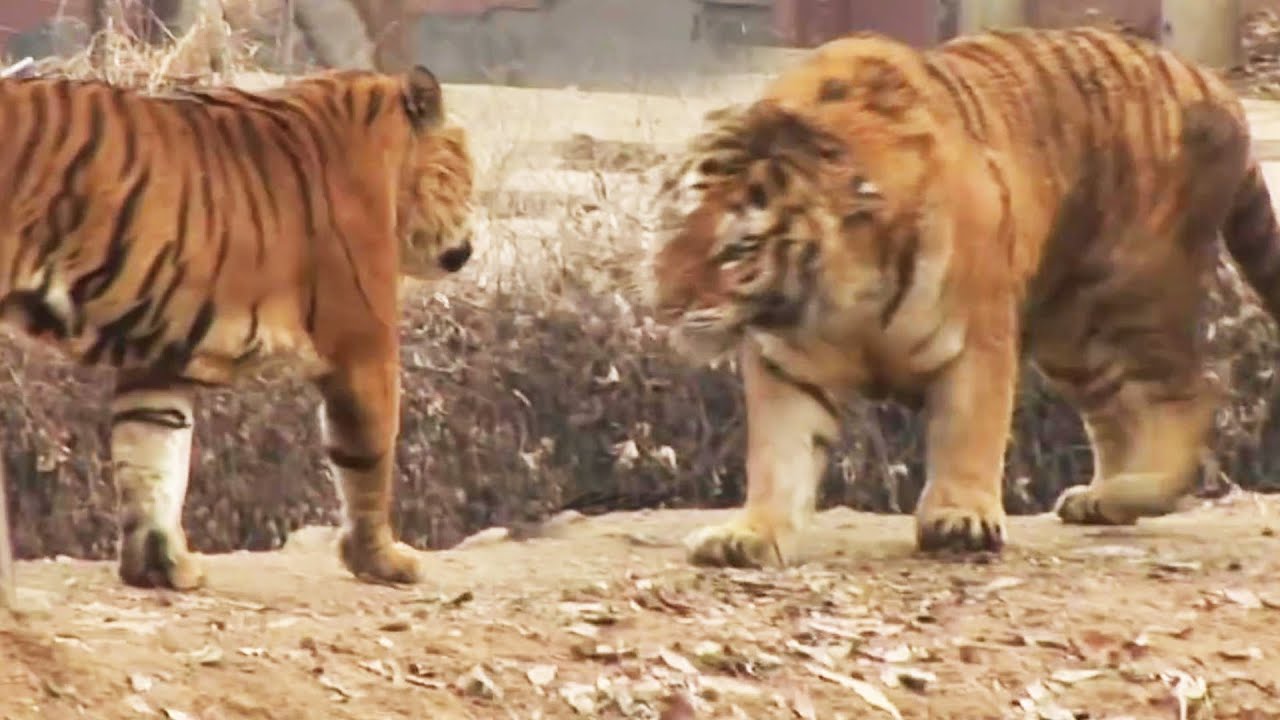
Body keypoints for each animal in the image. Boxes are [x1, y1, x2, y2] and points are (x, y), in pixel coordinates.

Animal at [0, 63, 475, 590]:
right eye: (468, 178)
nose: (469, 248)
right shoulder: (363, 341)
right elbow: (369, 453)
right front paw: (381, 561)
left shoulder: (157, 354)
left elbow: (151, 453)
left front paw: (162, 566)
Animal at [646, 26, 1279, 568]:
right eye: (671, 226)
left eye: (738, 249)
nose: (663, 302)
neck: (833, 301)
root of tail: (1212, 82)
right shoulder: (784, 364)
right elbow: (779, 457)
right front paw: (748, 534)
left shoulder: (978, 339)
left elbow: (969, 432)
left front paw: (959, 518)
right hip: (1074, 332)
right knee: (1118, 415)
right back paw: (1102, 497)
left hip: (1130, 297)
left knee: (1193, 393)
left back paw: (1140, 490)